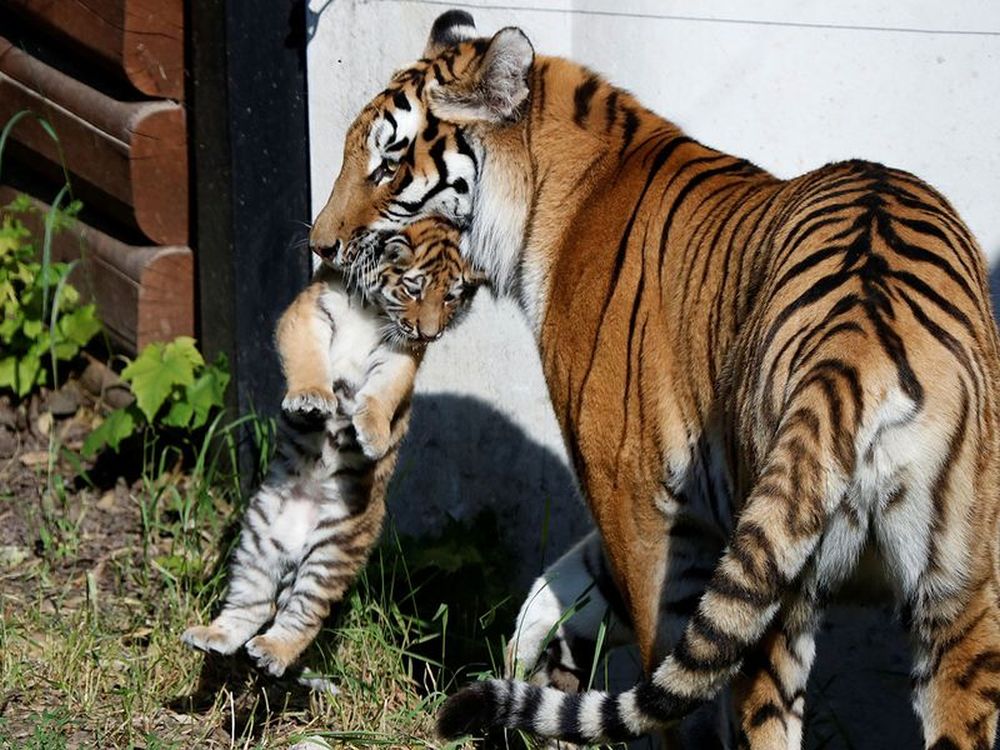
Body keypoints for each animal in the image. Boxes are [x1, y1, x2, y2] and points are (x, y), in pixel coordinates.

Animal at [308, 11, 1000, 750]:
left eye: (388, 165)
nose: (320, 246)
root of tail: (854, 346)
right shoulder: (696, 520)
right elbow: (555, 593)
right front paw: (535, 677)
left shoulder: (634, 496)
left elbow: (663, 668)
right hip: (957, 588)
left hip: (781, 580)